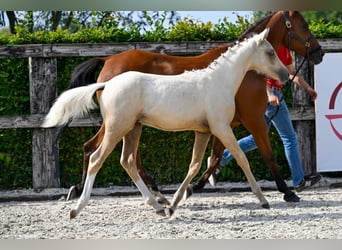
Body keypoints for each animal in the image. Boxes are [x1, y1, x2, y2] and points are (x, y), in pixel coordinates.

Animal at [42, 28, 288, 219]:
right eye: (270, 52)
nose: (285, 74)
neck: (219, 81)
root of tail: (107, 84)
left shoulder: (204, 131)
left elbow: (195, 165)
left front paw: (175, 203)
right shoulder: (221, 127)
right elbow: (241, 158)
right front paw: (264, 199)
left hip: (133, 129)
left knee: (128, 161)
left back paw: (158, 206)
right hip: (116, 128)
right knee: (96, 158)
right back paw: (77, 208)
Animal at [66, 11, 324, 203]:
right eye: (304, 25)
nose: (319, 53)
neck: (240, 71)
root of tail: (108, 60)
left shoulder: (222, 124)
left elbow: (215, 157)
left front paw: (194, 187)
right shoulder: (254, 120)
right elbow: (267, 155)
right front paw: (288, 192)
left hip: (128, 123)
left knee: (120, 154)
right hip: (119, 122)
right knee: (94, 148)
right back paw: (83, 190)